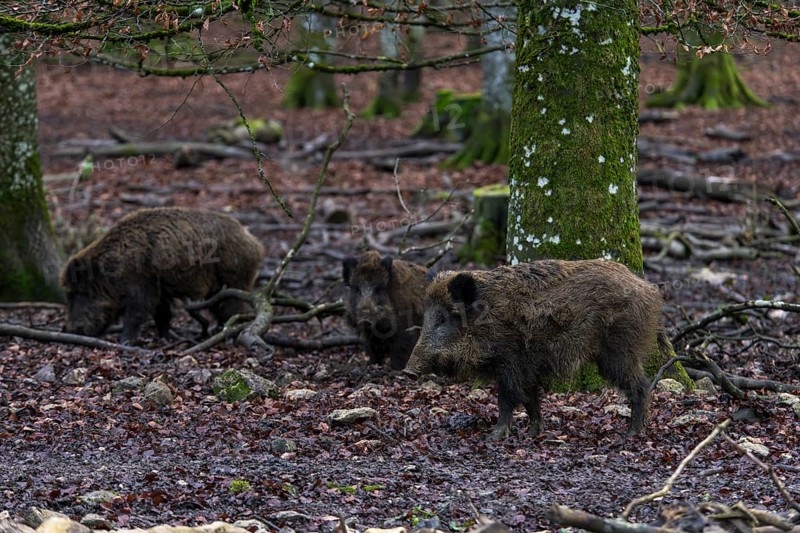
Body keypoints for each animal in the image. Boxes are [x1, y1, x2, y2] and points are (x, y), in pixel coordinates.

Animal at [60, 207, 265, 342]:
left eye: (78, 293)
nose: (71, 329)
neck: (112, 269)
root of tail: (255, 244)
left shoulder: (141, 288)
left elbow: (136, 315)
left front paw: (125, 342)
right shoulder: (159, 290)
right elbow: (162, 314)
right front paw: (165, 338)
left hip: (234, 279)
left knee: (237, 308)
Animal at [404, 259, 667, 439]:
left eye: (443, 319)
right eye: (426, 317)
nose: (408, 371)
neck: (487, 319)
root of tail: (650, 289)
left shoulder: (510, 362)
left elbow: (507, 398)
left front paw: (495, 436)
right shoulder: (526, 367)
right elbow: (530, 398)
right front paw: (532, 433)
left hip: (618, 350)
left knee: (640, 384)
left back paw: (633, 432)